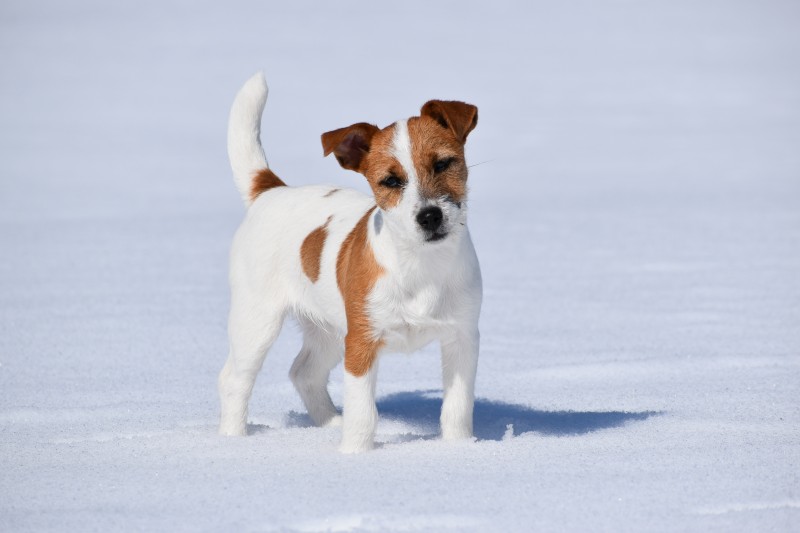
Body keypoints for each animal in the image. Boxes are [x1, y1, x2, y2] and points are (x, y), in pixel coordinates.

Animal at [217, 71, 482, 454]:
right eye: (391, 180)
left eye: (443, 164)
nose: (430, 216)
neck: (420, 266)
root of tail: (271, 190)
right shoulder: (360, 343)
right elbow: (363, 411)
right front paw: (356, 454)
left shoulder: (462, 339)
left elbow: (457, 407)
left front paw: (459, 448)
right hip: (257, 322)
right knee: (235, 379)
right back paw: (232, 440)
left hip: (328, 328)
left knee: (304, 372)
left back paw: (330, 424)